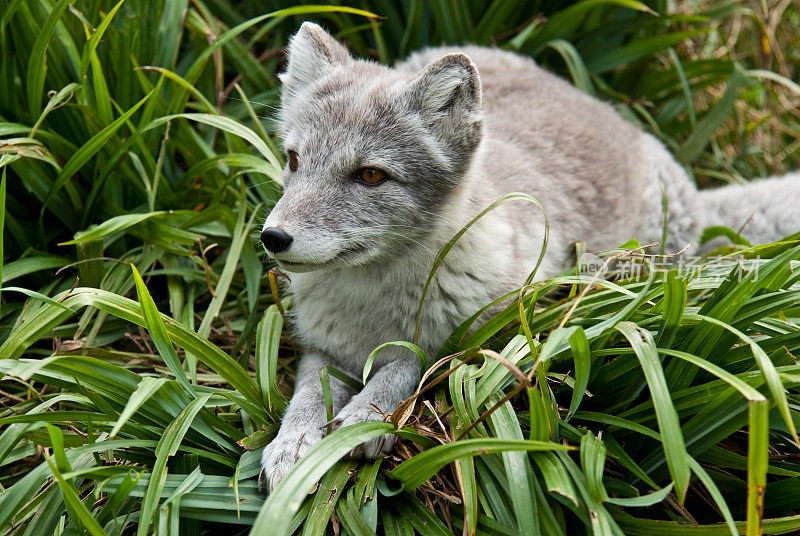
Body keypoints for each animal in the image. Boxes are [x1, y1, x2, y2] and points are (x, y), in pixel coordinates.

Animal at [260, 22, 796, 490]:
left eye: (370, 175)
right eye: (293, 159)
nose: (272, 237)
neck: (369, 309)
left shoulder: (485, 340)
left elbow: (410, 365)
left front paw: (366, 418)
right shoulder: (322, 349)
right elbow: (306, 395)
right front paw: (292, 445)